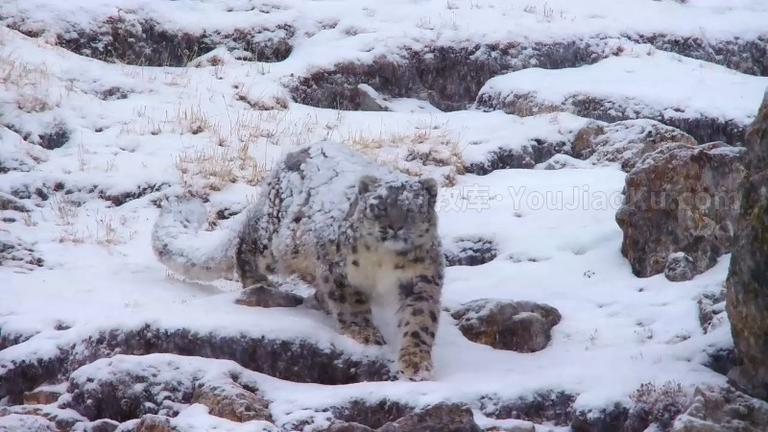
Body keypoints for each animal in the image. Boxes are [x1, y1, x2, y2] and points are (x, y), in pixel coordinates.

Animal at [152, 140, 444, 380]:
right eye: (379, 206)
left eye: (412, 209)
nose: (394, 227)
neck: (384, 263)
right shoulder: (337, 268)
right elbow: (352, 304)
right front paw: (366, 334)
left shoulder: (421, 278)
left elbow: (420, 319)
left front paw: (416, 363)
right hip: (273, 242)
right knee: (245, 247)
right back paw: (260, 283)